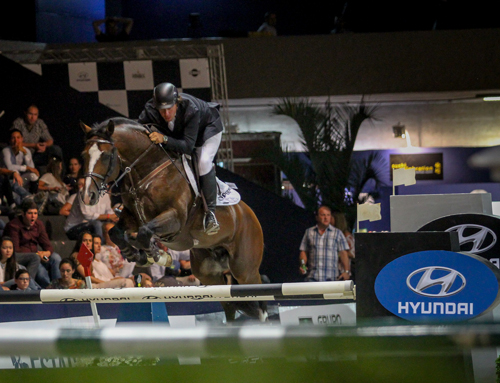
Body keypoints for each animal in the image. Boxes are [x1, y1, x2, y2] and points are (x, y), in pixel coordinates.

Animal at [80, 116, 268, 320]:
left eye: (106, 156)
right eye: (84, 155)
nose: (87, 196)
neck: (148, 172)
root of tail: (249, 214)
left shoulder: (174, 219)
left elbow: (144, 232)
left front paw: (155, 255)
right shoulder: (132, 217)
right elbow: (116, 233)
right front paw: (136, 255)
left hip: (244, 269)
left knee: (259, 298)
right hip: (208, 273)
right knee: (229, 304)